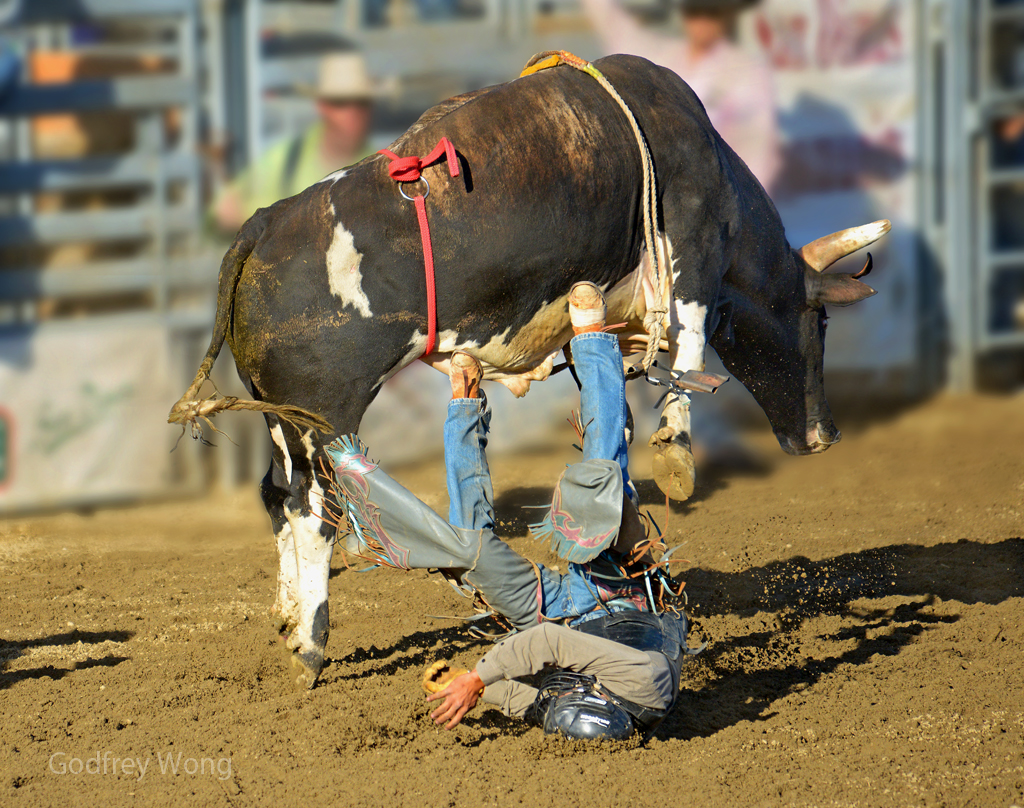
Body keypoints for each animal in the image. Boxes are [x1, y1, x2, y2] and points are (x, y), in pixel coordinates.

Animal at [169, 54, 888, 689]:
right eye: (821, 318)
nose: (823, 433)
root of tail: (263, 225)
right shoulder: (691, 243)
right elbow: (687, 338)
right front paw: (677, 452)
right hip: (320, 413)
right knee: (312, 511)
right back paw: (311, 647)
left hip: (278, 416)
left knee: (277, 497)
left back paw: (291, 619)